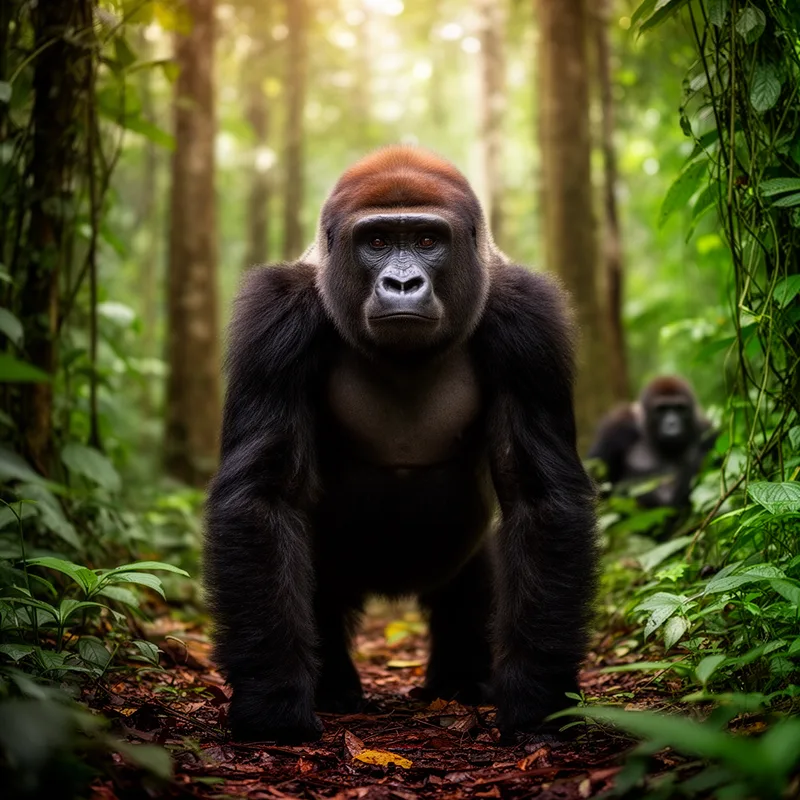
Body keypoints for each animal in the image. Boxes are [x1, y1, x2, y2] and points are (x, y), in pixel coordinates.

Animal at [204, 146, 598, 744]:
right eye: (378, 242)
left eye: (429, 240)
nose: (403, 283)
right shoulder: (275, 315)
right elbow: (262, 497)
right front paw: (272, 702)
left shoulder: (530, 320)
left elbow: (540, 497)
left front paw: (537, 699)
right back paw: (334, 688)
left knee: (473, 583)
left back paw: (460, 682)